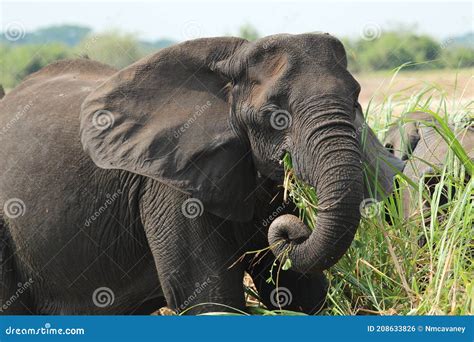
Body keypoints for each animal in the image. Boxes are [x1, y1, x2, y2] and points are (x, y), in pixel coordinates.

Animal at [0, 33, 402, 314]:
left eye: (355, 101)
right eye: (275, 115)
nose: (294, 228)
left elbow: (298, 290)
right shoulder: (170, 188)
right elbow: (210, 299)